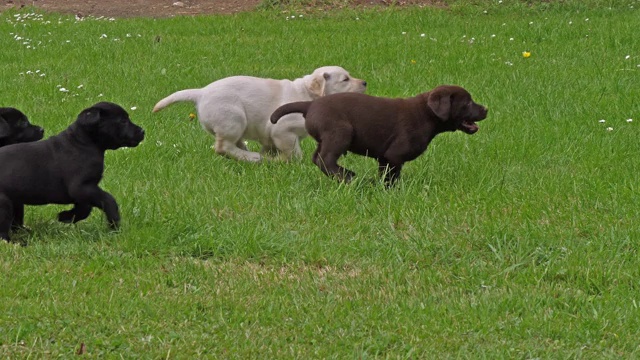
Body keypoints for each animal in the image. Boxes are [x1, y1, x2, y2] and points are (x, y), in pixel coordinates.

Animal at [0, 102, 145, 242]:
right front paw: (114, 225)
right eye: (123, 121)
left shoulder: (84, 190)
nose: (142, 131)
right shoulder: (81, 187)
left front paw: (66, 216)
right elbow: (108, 200)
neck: (83, 143)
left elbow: (85, 208)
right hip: (5, 204)